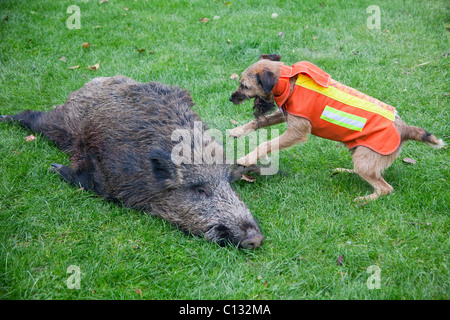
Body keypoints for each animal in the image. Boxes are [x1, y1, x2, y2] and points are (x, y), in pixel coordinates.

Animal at [229, 54, 442, 201]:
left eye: (244, 86)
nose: (230, 98)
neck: (288, 81)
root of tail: (404, 129)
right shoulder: (284, 115)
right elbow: (259, 122)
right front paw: (237, 131)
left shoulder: (297, 131)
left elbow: (266, 144)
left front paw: (247, 158)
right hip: (360, 153)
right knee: (369, 173)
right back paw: (345, 171)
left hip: (365, 158)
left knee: (385, 188)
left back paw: (364, 199)